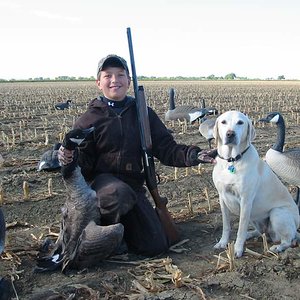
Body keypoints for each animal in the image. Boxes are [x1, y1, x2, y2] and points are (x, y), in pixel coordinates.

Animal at [212, 111, 298, 256]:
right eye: (223, 122)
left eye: (240, 122)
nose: (230, 134)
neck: (232, 161)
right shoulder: (222, 197)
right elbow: (226, 225)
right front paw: (223, 242)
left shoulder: (246, 200)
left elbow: (241, 228)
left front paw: (237, 249)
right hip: (255, 216)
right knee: (261, 232)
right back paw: (251, 234)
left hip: (277, 213)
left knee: (288, 240)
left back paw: (277, 247)